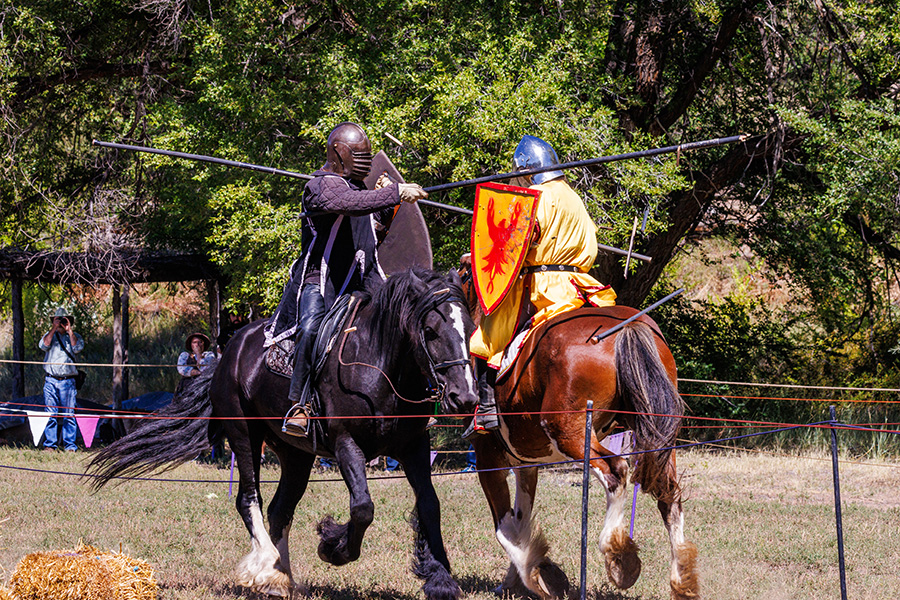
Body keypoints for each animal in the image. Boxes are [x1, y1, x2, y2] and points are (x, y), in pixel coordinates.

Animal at [85, 270, 478, 596]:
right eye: (430, 331)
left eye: (470, 329)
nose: (465, 397)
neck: (378, 365)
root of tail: (229, 350)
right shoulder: (346, 444)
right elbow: (363, 507)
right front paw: (333, 546)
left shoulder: (414, 446)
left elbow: (429, 505)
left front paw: (440, 579)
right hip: (244, 435)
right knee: (250, 500)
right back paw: (267, 568)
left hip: (296, 454)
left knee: (280, 509)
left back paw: (279, 575)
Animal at [460, 274, 700, 600]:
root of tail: (627, 327)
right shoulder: (526, 463)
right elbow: (520, 522)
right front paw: (518, 578)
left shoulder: (487, 456)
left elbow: (504, 527)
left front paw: (537, 578)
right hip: (657, 432)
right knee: (669, 494)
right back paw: (681, 581)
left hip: (569, 434)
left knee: (616, 471)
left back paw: (619, 556)